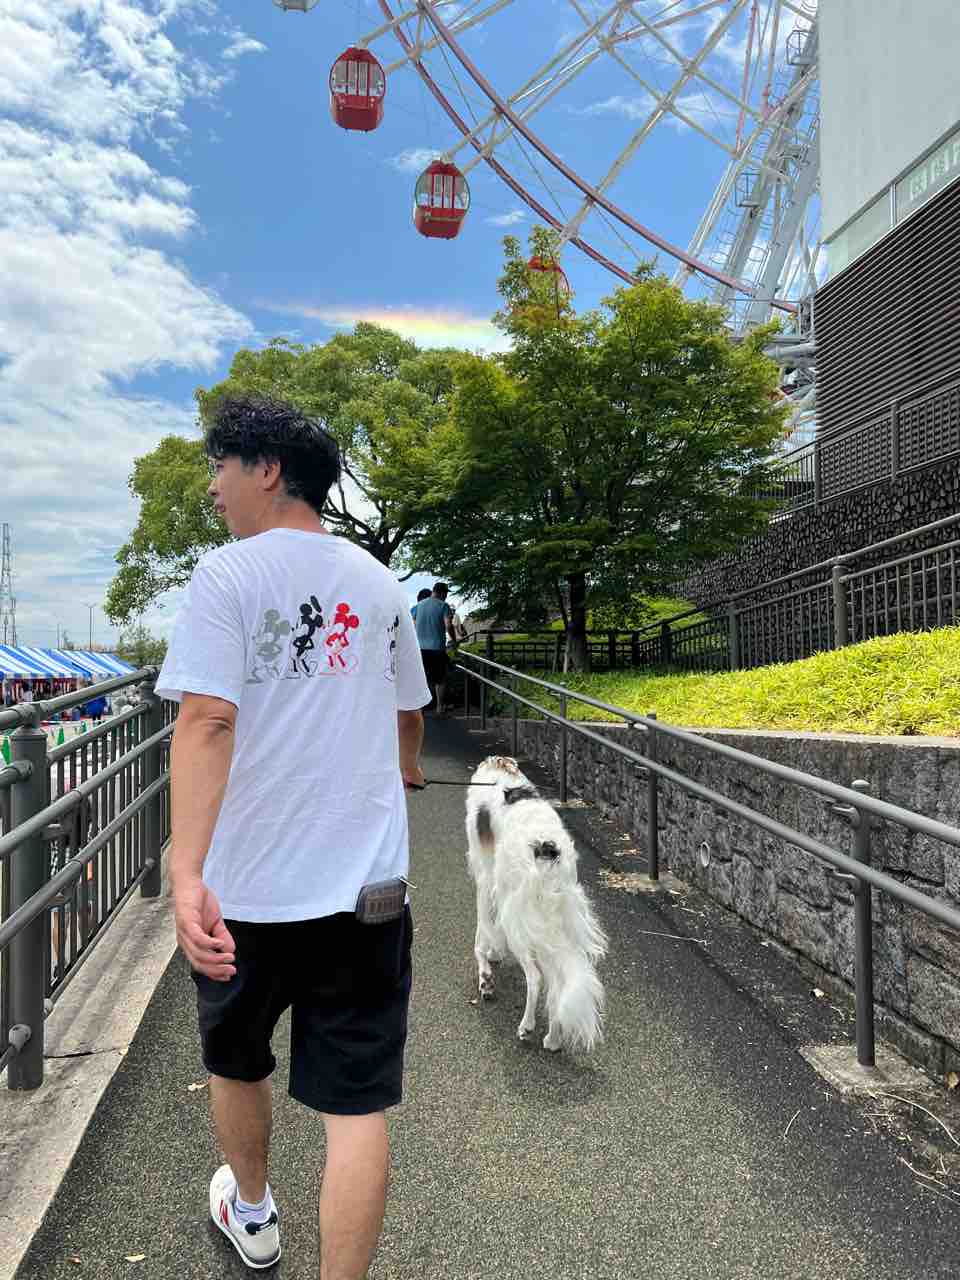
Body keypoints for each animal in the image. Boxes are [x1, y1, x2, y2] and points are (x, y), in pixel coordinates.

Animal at [465, 756, 608, 1052]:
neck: (501, 772)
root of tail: (548, 848)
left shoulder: (486, 879)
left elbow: (481, 935)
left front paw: (486, 976)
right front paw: (493, 956)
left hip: (519, 914)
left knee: (537, 978)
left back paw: (526, 1027)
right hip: (551, 918)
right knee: (557, 984)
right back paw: (553, 1038)